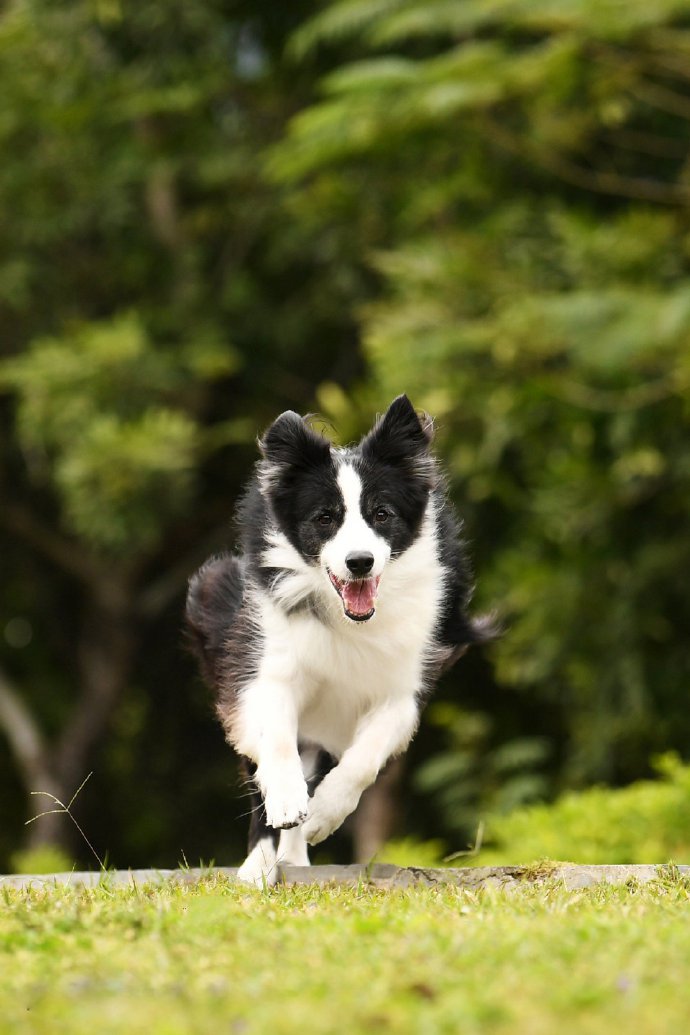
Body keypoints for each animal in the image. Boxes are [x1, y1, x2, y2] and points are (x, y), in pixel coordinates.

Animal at [186, 393, 488, 881]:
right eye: (324, 518)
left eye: (382, 514)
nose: (359, 562)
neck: (350, 619)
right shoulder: (264, 662)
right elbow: (275, 740)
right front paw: (286, 803)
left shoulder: (404, 683)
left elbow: (365, 757)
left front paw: (324, 815)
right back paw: (261, 865)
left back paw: (295, 854)